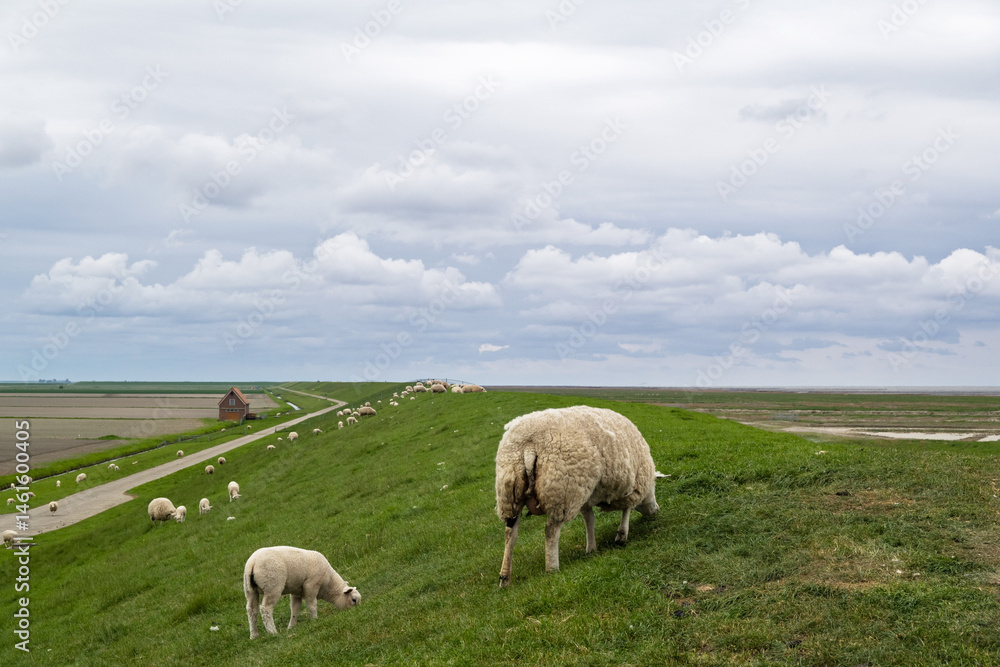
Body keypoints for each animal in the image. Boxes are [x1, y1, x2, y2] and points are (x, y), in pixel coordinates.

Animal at [495, 405, 659, 587]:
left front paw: (591, 548)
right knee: (550, 530)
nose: (656, 510)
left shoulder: (585, 496)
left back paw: (505, 578)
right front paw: (621, 535)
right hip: (562, 491)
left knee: (510, 533)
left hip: (510, 493)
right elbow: (627, 510)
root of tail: (529, 446)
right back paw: (552, 568)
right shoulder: (633, 487)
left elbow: (590, 520)